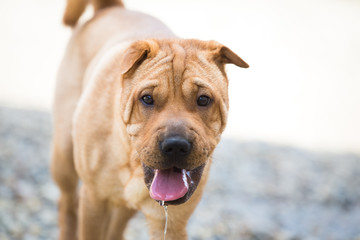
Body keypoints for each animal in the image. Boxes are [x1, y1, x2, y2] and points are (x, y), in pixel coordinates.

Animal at [50, 0, 248, 240]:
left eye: (203, 99)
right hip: (64, 157)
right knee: (68, 203)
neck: (131, 161)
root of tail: (109, 8)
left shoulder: (170, 223)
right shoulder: (94, 203)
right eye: (147, 99)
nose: (176, 146)